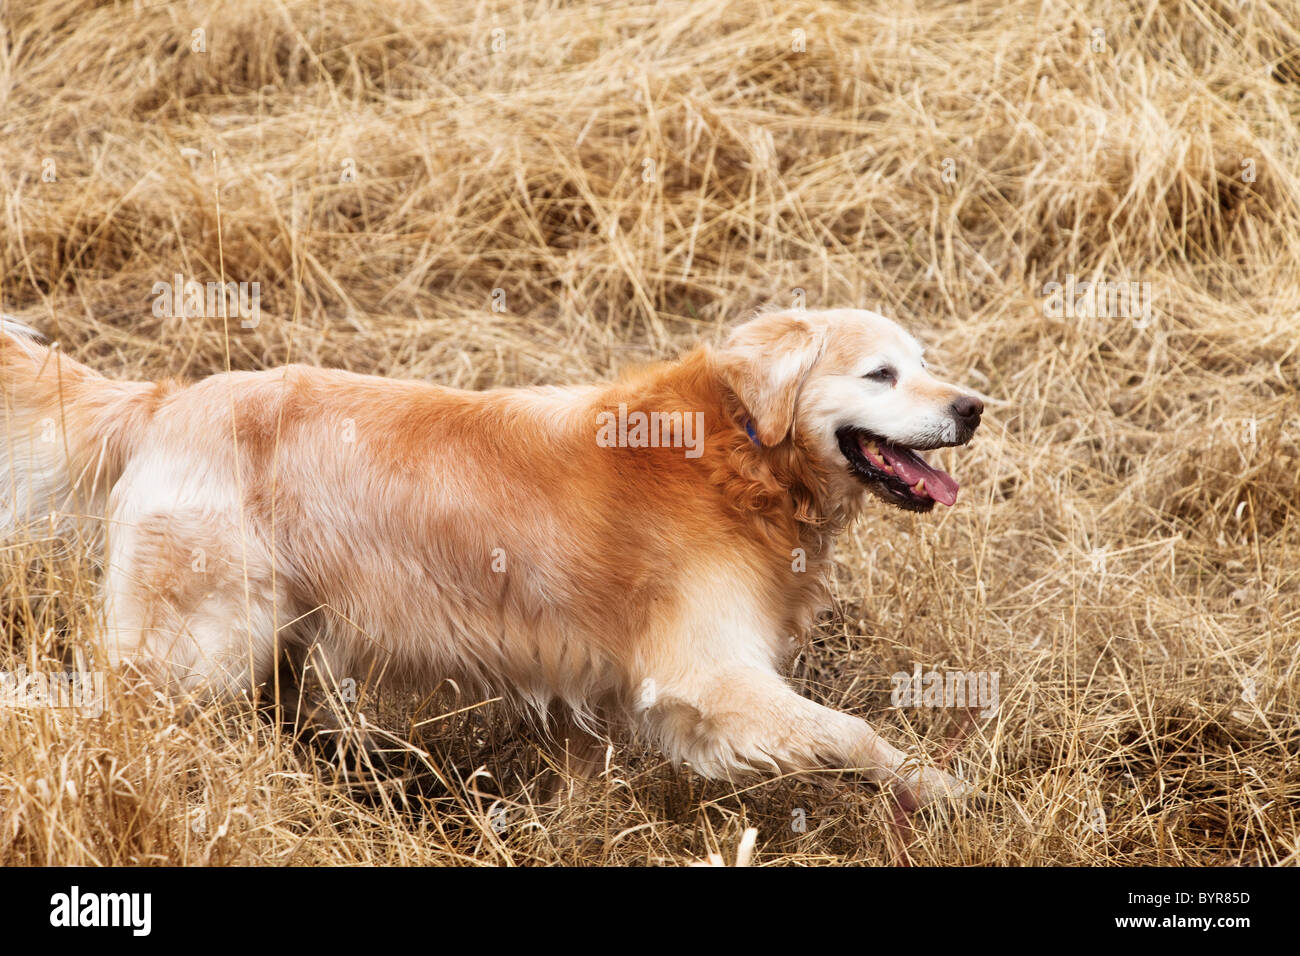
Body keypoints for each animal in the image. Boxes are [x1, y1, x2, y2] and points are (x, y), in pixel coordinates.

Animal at [0, 306, 977, 806]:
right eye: (880, 374)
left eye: (925, 362)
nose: (974, 407)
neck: (740, 451)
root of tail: (168, 400)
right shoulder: (708, 675)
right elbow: (853, 733)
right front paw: (939, 787)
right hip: (193, 648)